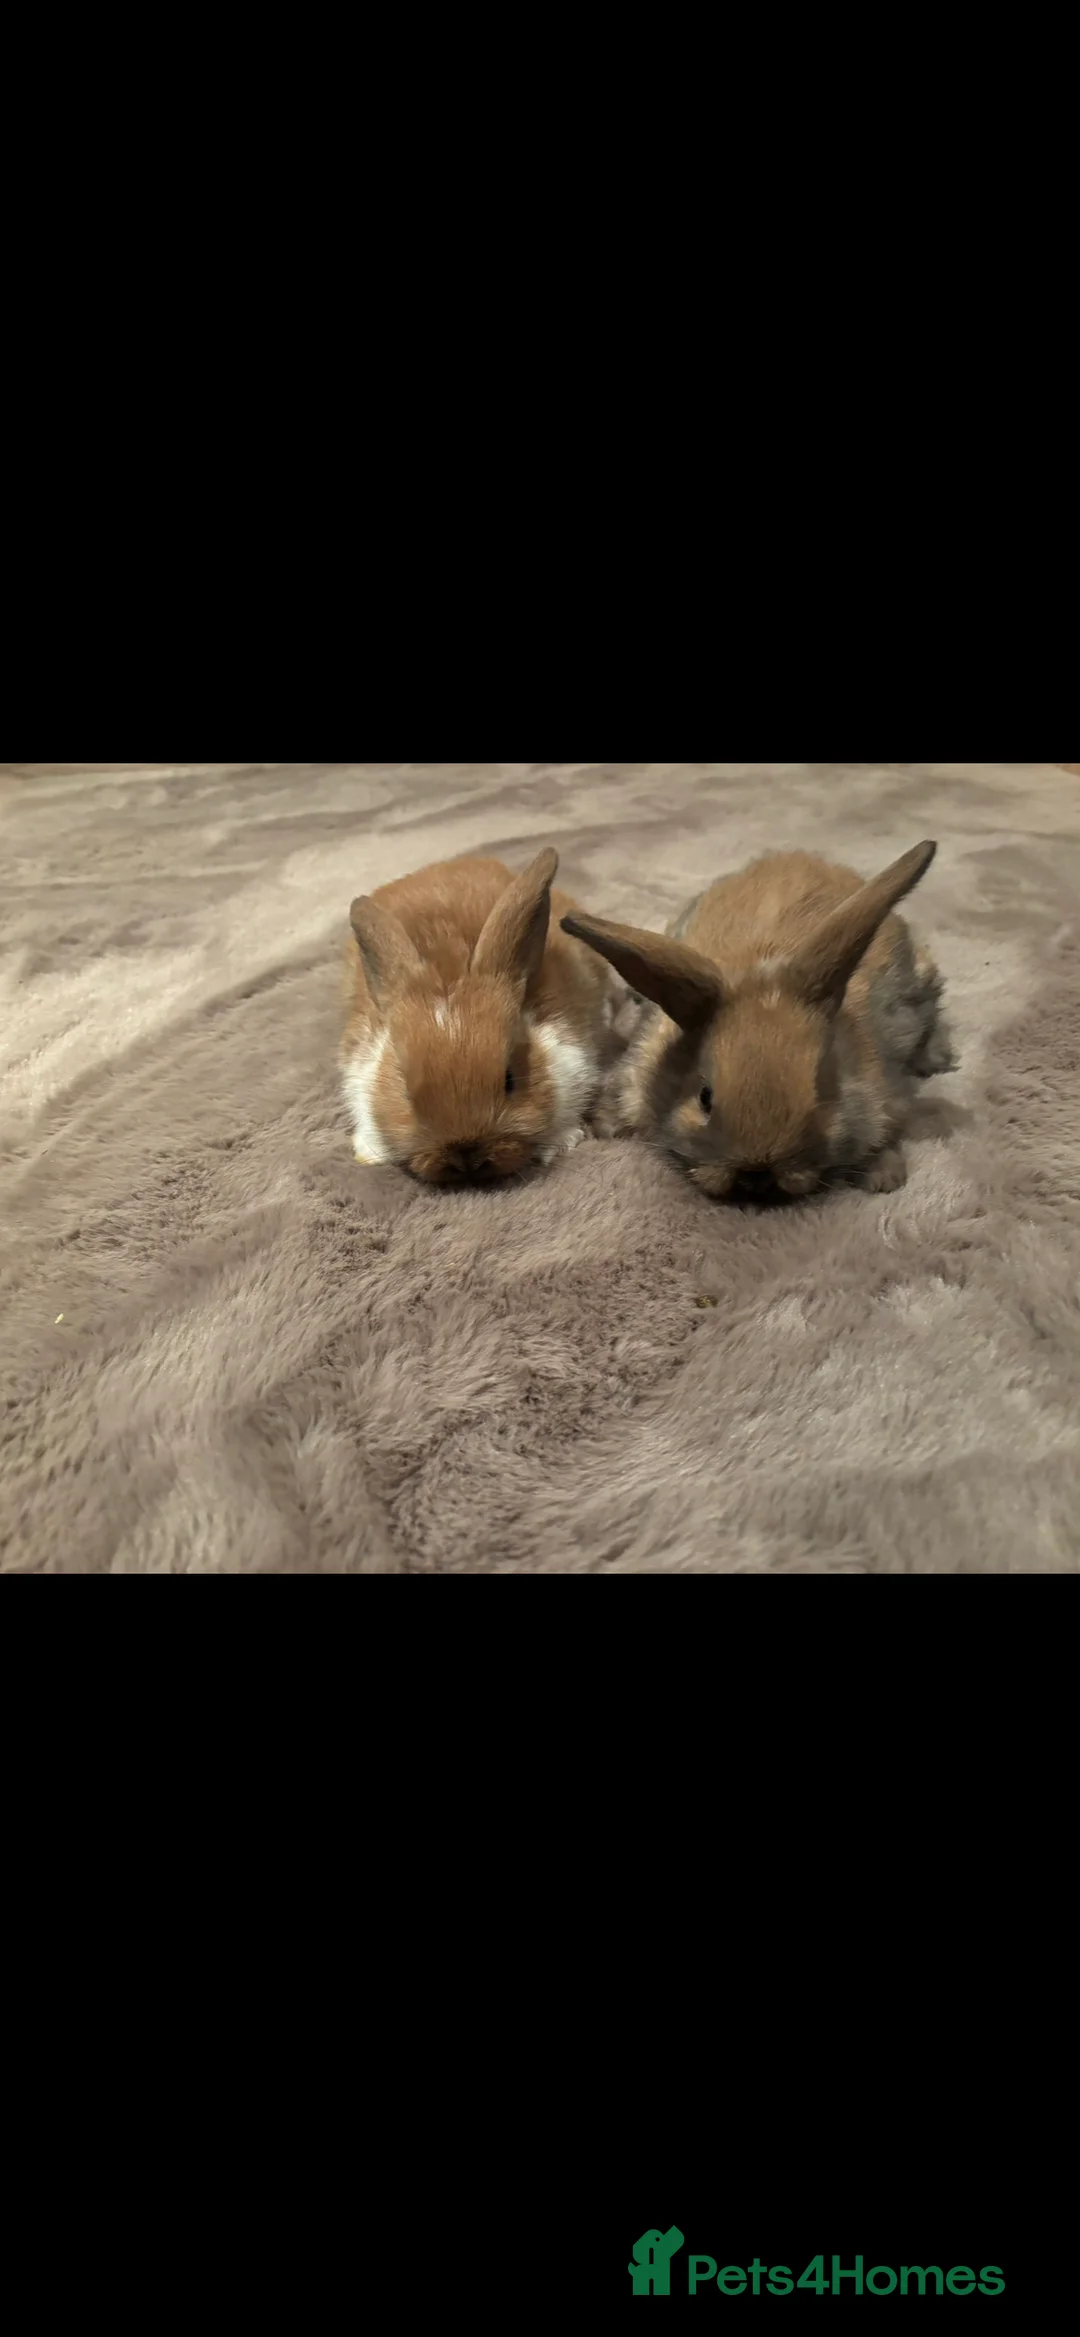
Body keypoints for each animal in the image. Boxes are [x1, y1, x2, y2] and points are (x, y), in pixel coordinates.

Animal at [342, 847, 620, 1185]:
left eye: (510, 1080)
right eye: (406, 1092)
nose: (466, 1157)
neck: (450, 971)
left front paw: (561, 1143)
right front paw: (368, 1153)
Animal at [561, 841, 956, 1201]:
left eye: (824, 1093)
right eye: (704, 1097)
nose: (757, 1176)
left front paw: (884, 1178)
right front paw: (603, 1126)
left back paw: (940, 1059)